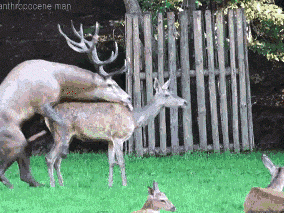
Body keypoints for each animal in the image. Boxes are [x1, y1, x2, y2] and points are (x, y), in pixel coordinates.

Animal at [0, 20, 132, 189]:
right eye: (111, 84)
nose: (128, 97)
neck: (60, 82)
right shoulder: (42, 103)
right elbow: (62, 122)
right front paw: (63, 150)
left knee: (23, 170)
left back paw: (37, 183)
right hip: (14, 137)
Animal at [43, 78, 187, 186]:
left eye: (173, 91)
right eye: (167, 95)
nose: (185, 102)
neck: (134, 119)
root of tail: (46, 117)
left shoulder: (110, 140)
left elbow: (111, 162)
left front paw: (110, 184)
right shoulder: (119, 137)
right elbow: (122, 162)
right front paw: (125, 184)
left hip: (65, 136)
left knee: (57, 160)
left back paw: (62, 184)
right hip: (62, 133)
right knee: (49, 157)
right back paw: (52, 185)